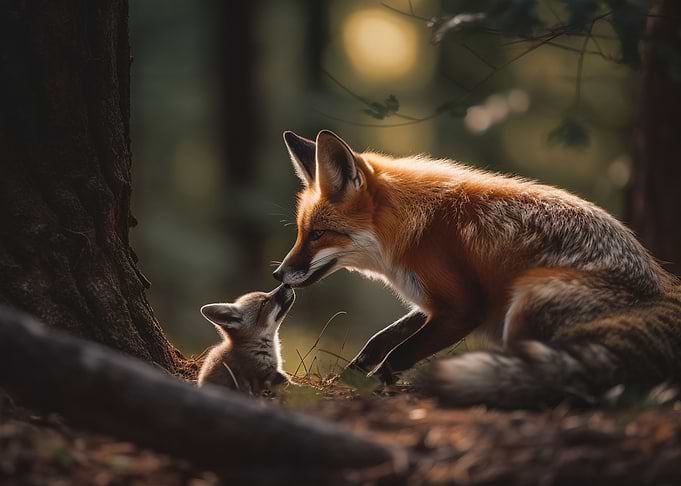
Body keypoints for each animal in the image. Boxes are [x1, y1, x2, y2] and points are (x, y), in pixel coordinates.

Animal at [273, 129, 681, 409]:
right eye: (301, 232)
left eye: (318, 234)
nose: (278, 275)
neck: (414, 229)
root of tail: (661, 290)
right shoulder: (430, 304)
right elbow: (379, 341)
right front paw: (350, 377)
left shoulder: (465, 308)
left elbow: (398, 355)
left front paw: (375, 386)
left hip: (528, 300)